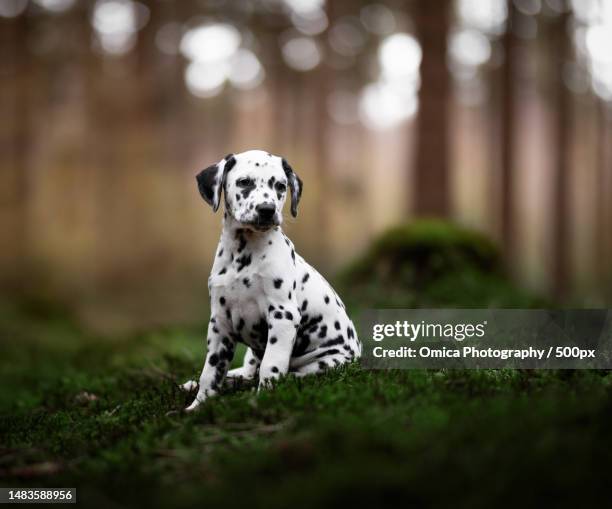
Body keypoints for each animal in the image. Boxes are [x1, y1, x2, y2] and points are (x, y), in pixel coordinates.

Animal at [182, 149, 364, 410]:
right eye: (244, 182)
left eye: (280, 185)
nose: (267, 209)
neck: (243, 253)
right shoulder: (220, 323)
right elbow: (211, 371)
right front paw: (198, 406)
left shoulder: (283, 316)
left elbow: (271, 366)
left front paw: (264, 398)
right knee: (246, 372)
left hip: (326, 362)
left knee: (289, 374)